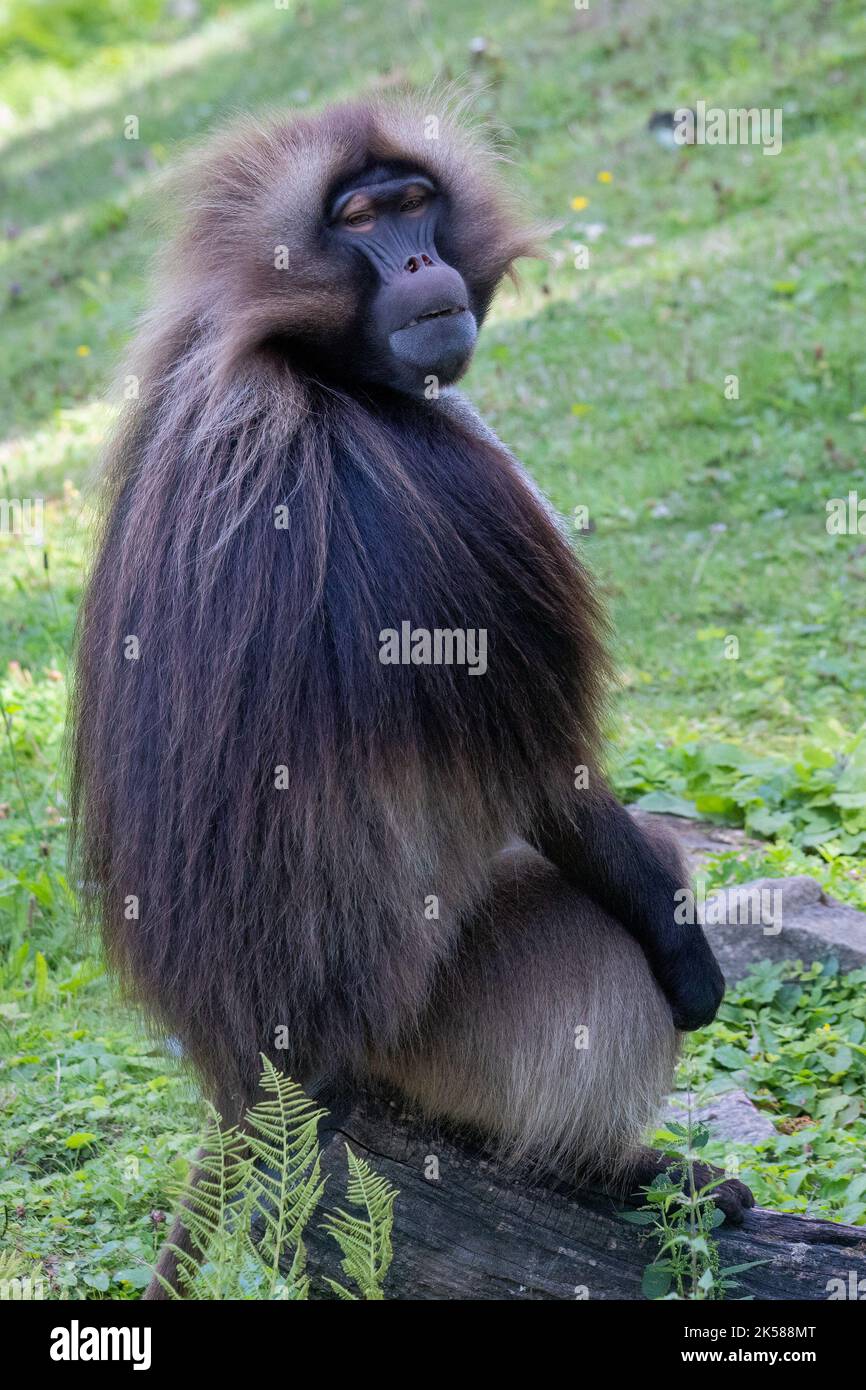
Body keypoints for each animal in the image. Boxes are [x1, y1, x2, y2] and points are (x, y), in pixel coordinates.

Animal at [69, 91, 754, 1300]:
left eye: (412, 201)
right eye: (359, 220)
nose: (423, 260)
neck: (291, 352)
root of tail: (263, 1074)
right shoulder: (449, 490)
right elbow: (556, 789)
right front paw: (688, 963)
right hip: (444, 1027)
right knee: (615, 919)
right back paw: (619, 1170)